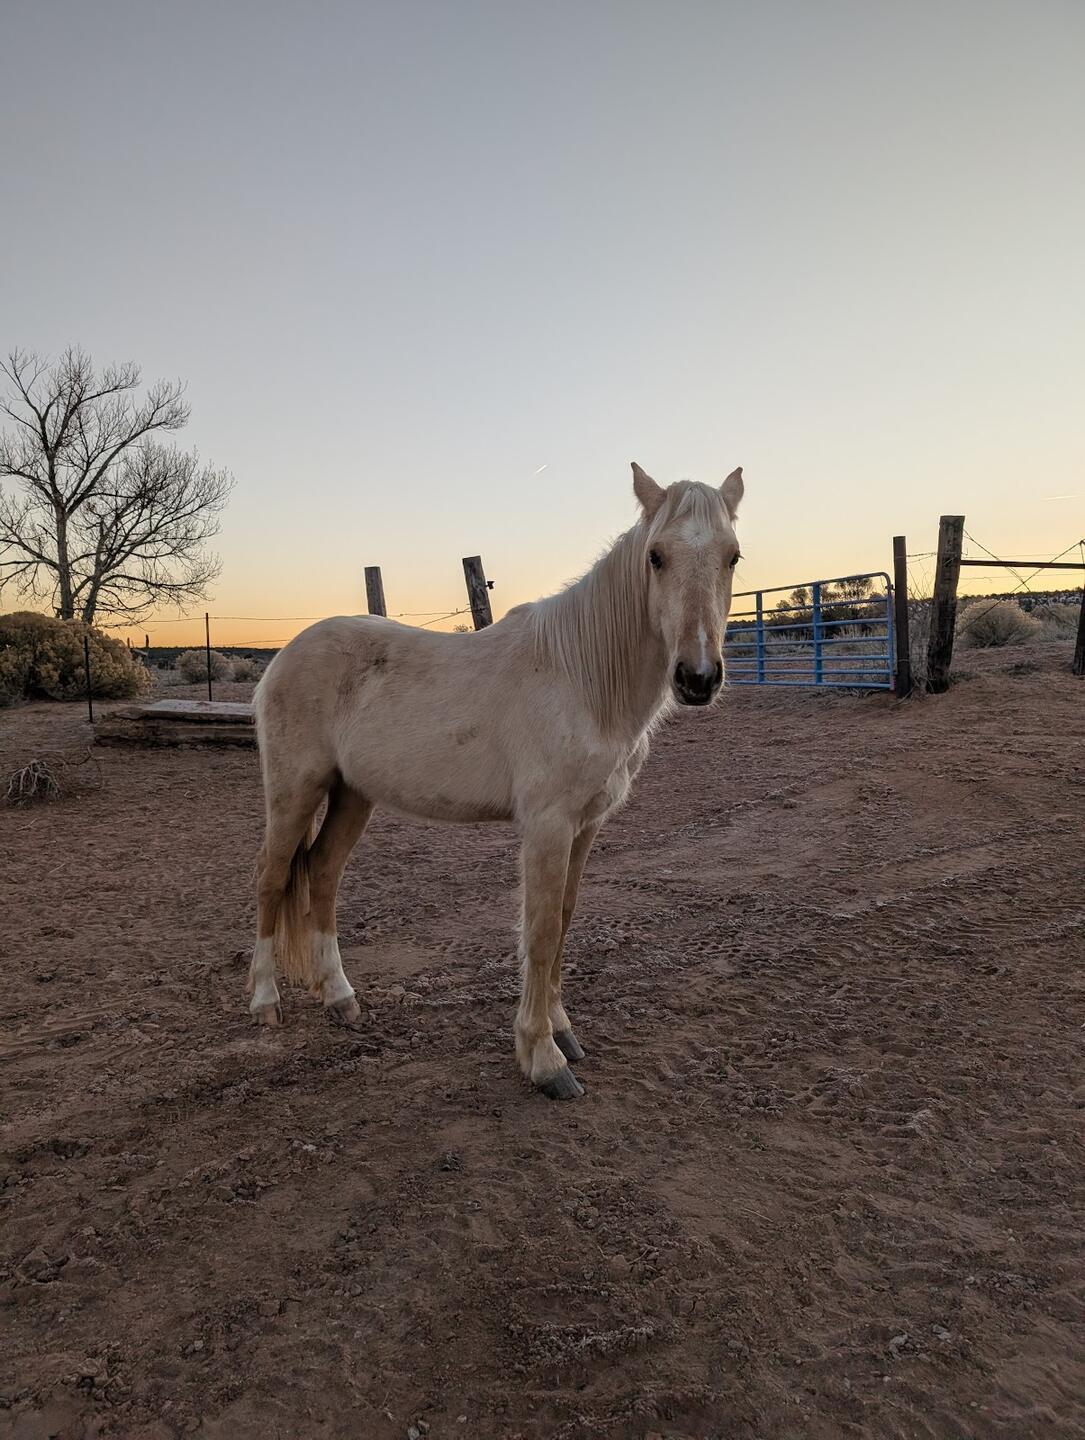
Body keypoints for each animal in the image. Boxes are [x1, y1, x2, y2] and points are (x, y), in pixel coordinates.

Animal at [248, 462, 745, 1100]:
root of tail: (282, 657)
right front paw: (543, 1059)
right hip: (295, 790)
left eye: (732, 556)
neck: (580, 676)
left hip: (353, 795)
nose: (698, 678)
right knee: (272, 879)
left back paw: (340, 998)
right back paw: (265, 1002)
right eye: (655, 556)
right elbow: (539, 931)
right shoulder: (548, 825)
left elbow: (563, 922)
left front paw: (562, 1033)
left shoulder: (584, 826)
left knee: (323, 875)